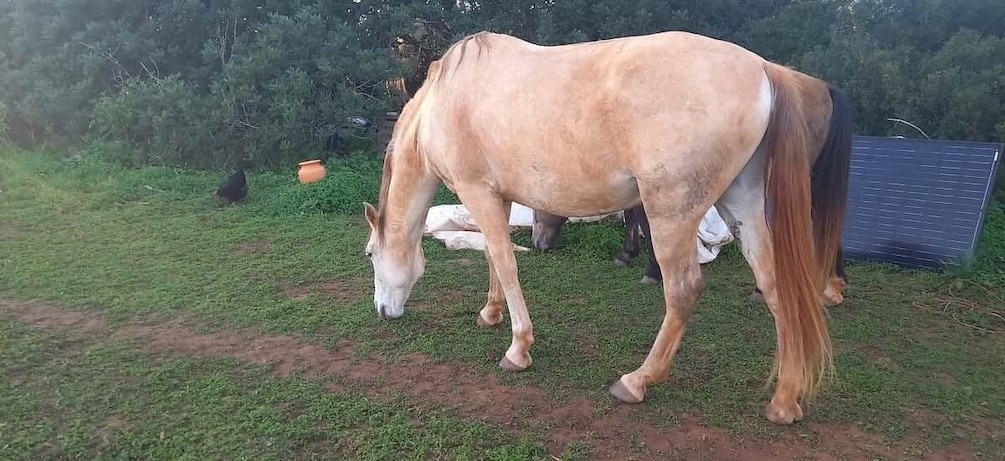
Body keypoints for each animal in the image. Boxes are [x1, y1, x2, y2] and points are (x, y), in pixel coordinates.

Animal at [365, 29, 852, 425]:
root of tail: (762, 69)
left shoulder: (478, 193)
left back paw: (637, 381)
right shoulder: (495, 199)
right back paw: (785, 400)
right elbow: (491, 257)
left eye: (370, 255)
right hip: (742, 205)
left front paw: (518, 348)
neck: (444, 101)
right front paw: (490, 313)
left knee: (683, 290)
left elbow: (505, 263)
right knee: (774, 285)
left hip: (671, 214)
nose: (383, 311)